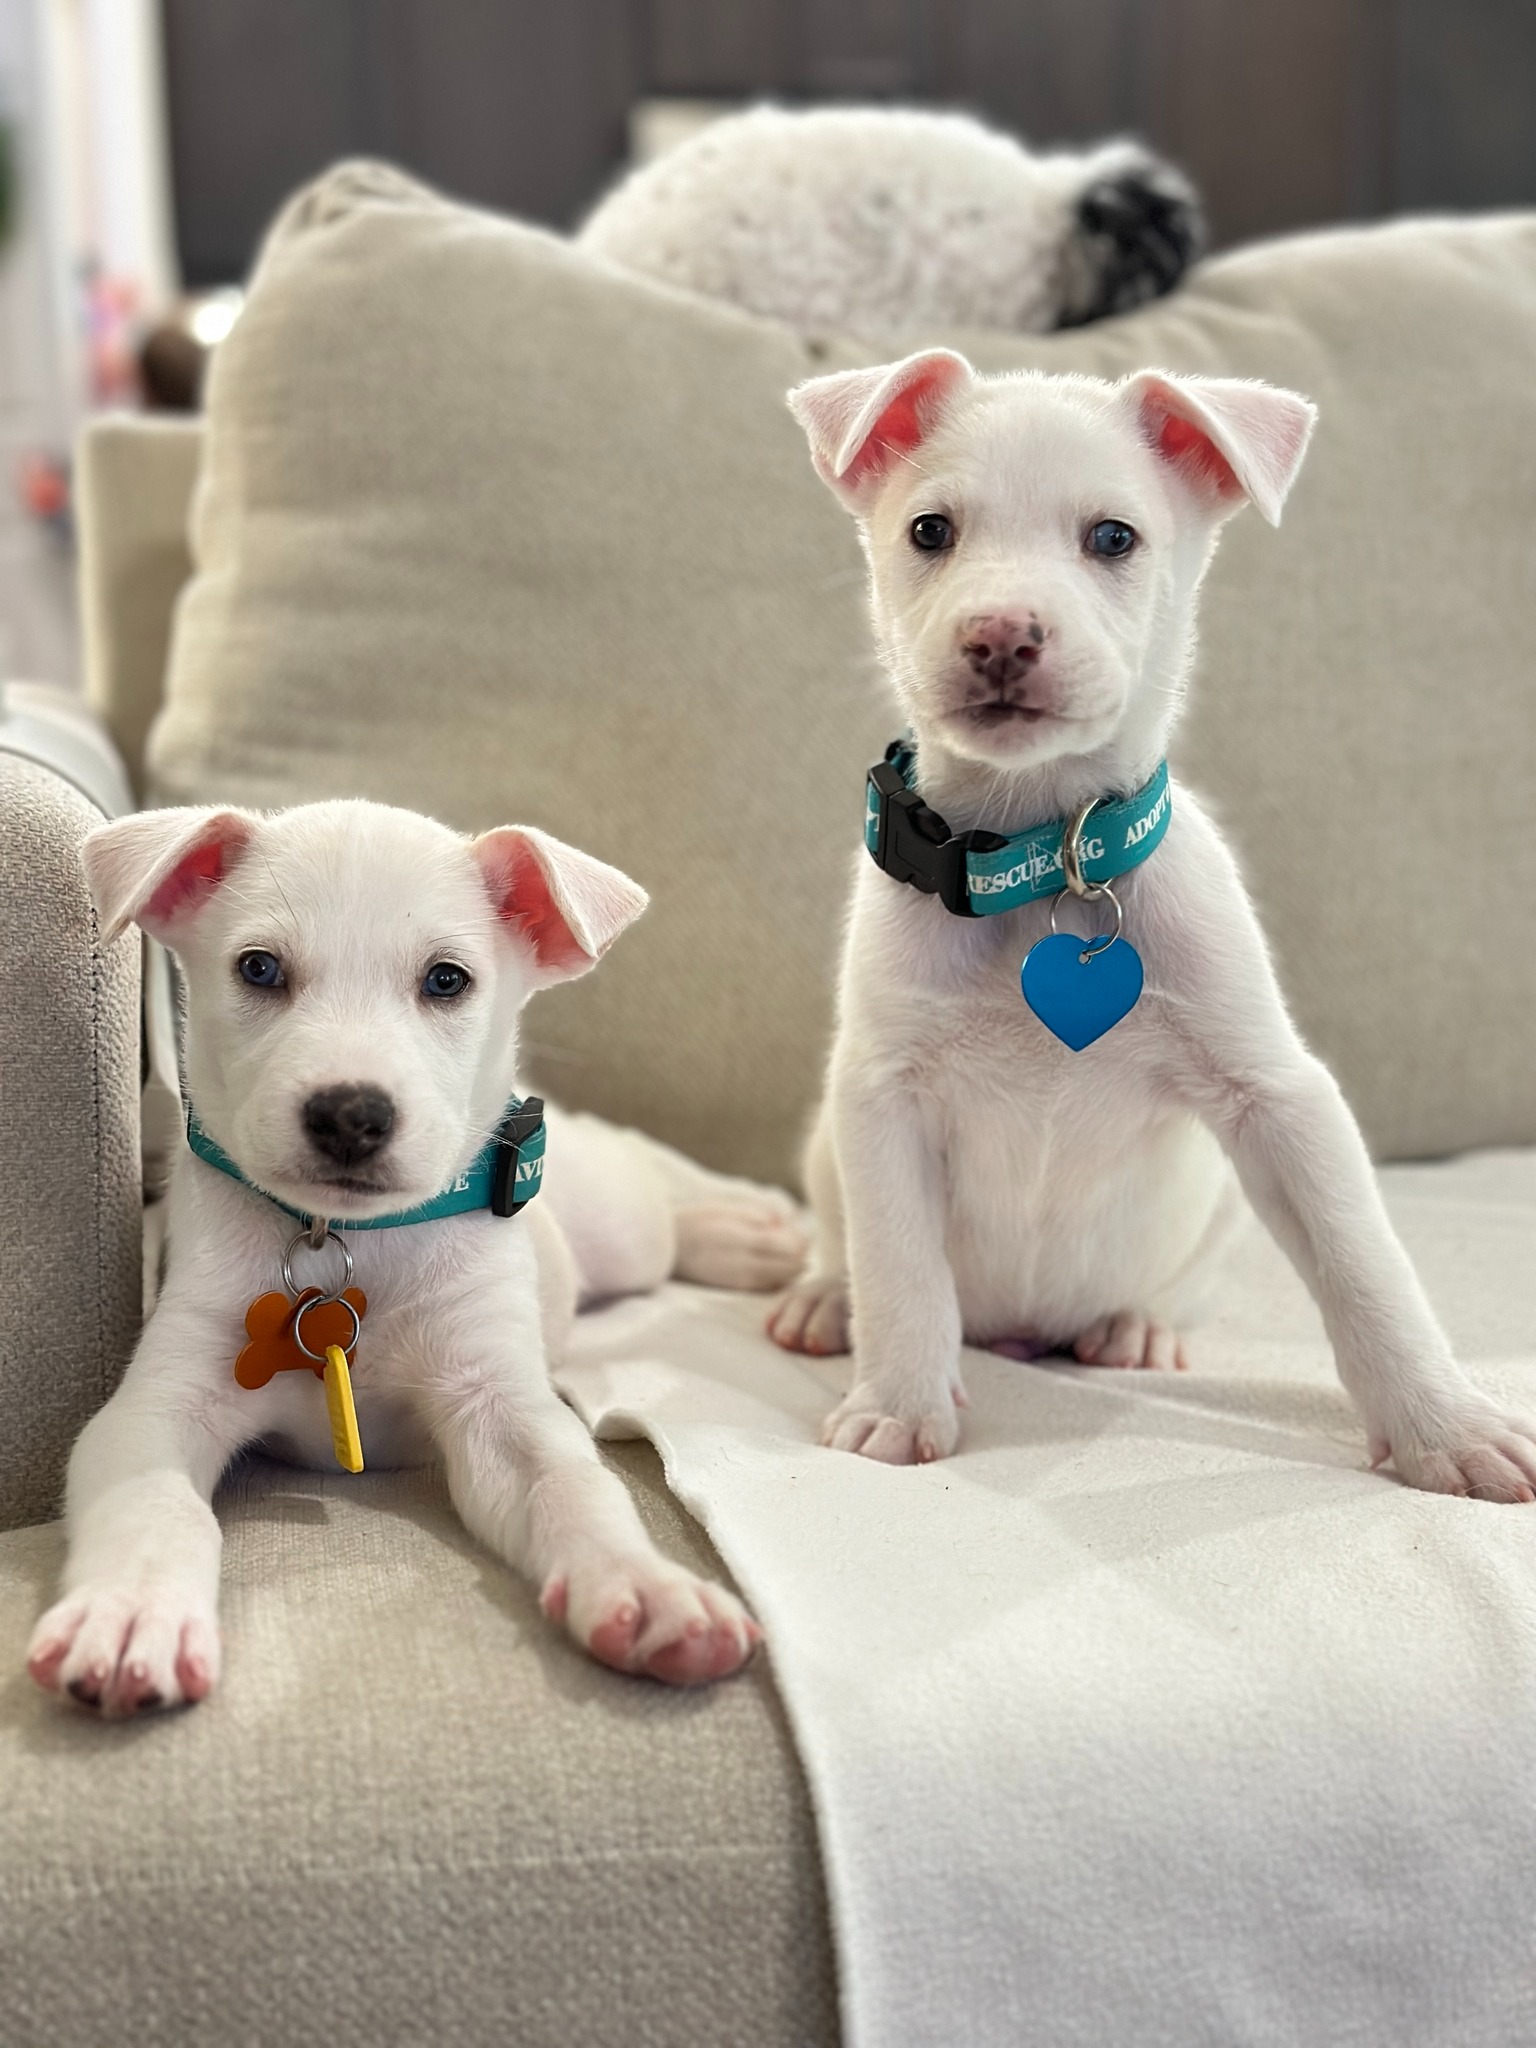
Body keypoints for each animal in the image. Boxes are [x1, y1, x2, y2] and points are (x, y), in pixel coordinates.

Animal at [27, 798, 806, 1712]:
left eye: (446, 980)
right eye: (259, 968)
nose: (350, 1115)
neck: (353, 1243)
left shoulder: (498, 1404)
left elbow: (577, 1487)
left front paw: (647, 1587)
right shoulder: (159, 1402)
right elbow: (152, 1502)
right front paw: (129, 1610)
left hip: (624, 1225)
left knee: (658, 1185)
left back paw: (749, 1230)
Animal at [770, 348, 1536, 1507]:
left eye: (1114, 538)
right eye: (930, 531)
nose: (1001, 634)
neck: (1040, 862)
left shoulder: (1280, 1101)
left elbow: (1365, 1268)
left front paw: (1445, 1423)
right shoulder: (881, 1099)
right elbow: (900, 1267)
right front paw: (898, 1403)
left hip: (1216, 1203)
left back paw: (1138, 1324)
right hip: (826, 1140)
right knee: (840, 1237)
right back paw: (825, 1296)